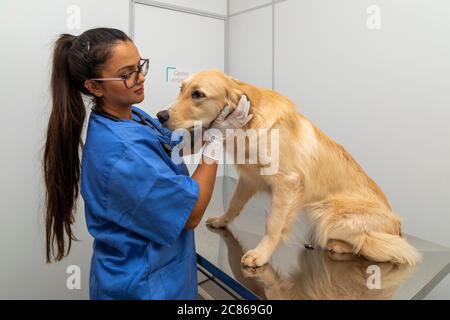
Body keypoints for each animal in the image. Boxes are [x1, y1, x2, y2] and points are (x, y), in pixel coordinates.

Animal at [160, 70, 420, 268]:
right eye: (181, 89)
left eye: (198, 94)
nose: (160, 115)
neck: (249, 123)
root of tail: (398, 226)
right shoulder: (249, 179)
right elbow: (234, 205)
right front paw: (222, 220)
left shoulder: (287, 183)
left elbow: (273, 224)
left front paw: (261, 254)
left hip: (326, 212)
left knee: (375, 245)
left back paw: (337, 245)